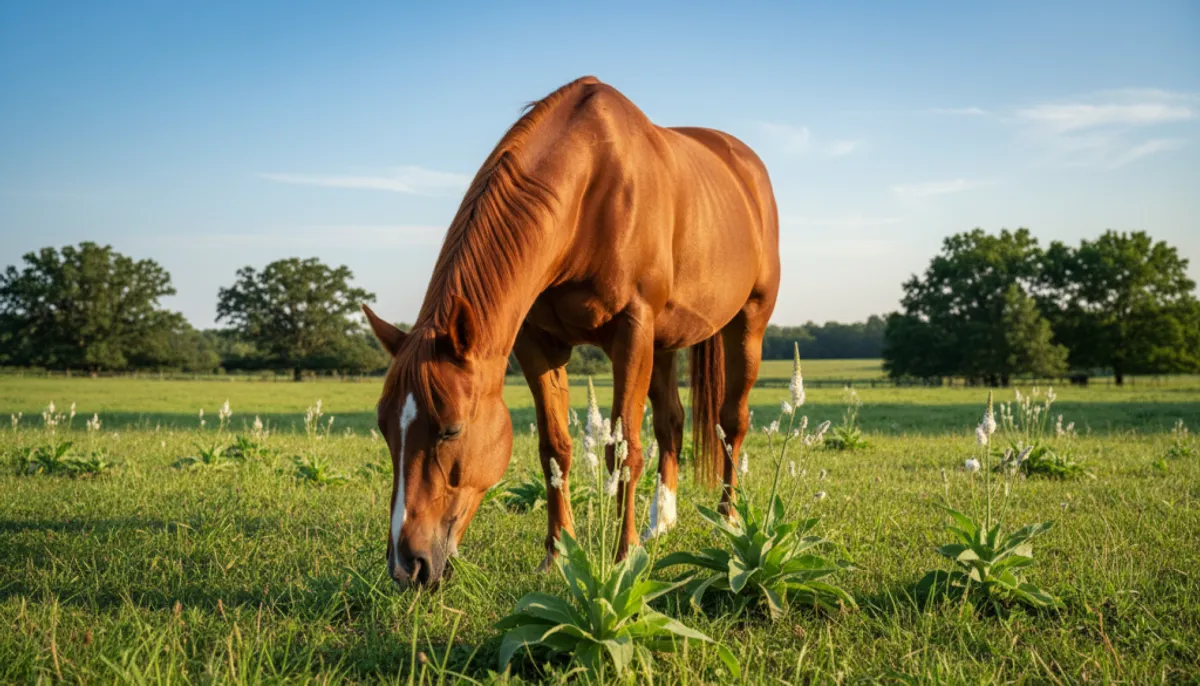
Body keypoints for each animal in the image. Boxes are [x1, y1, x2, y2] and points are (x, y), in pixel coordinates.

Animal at [363, 76, 780, 589]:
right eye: (384, 427)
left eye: (450, 429)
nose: (406, 566)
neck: (591, 190)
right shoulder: (538, 344)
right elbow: (554, 449)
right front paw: (557, 555)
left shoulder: (632, 332)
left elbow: (623, 450)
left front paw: (624, 557)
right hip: (663, 343)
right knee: (672, 422)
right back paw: (661, 523)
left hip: (747, 324)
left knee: (730, 423)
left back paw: (729, 520)